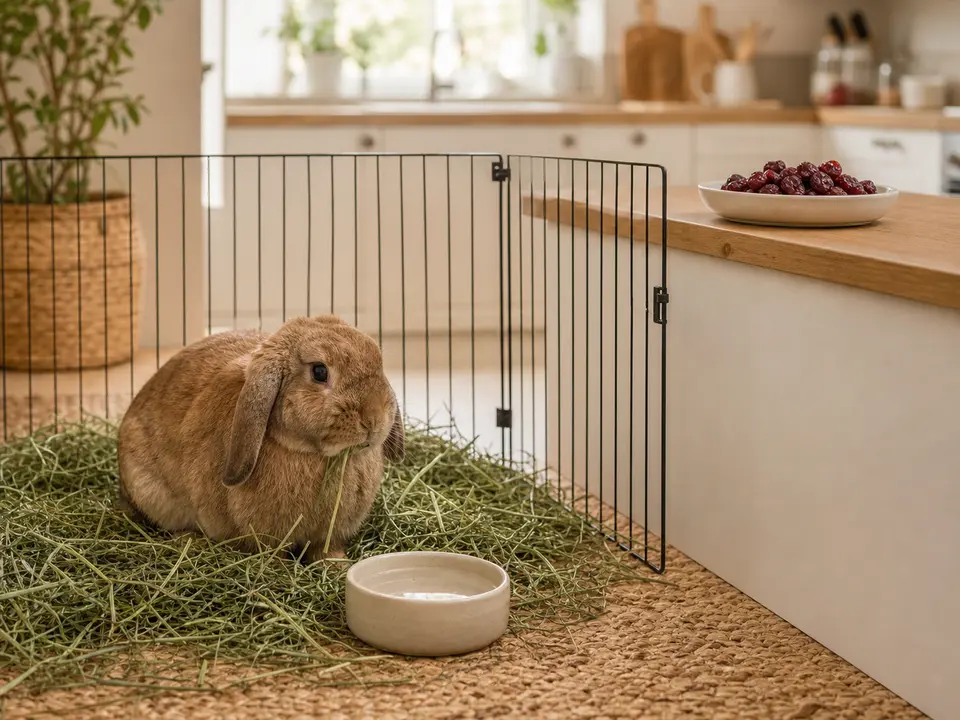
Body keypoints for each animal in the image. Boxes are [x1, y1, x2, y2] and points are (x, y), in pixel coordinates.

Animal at [115, 314, 405, 563]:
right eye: (320, 372)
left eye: (377, 360)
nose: (374, 419)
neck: (313, 454)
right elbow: (273, 555)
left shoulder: (329, 535)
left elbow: (327, 550)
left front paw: (337, 567)